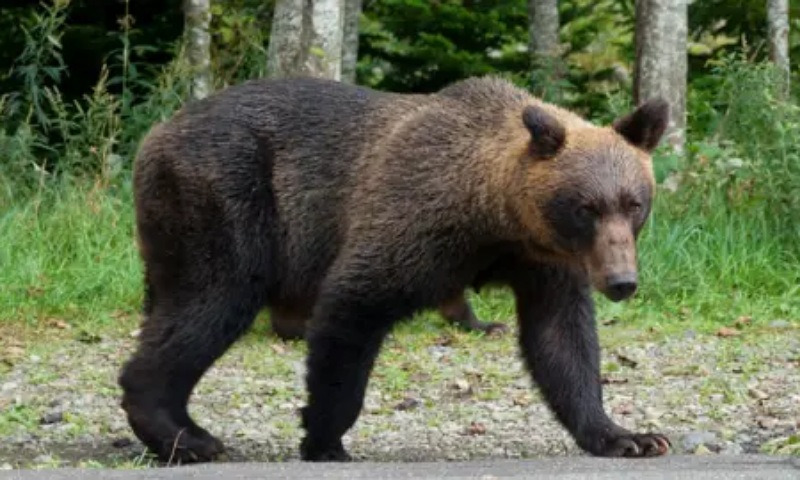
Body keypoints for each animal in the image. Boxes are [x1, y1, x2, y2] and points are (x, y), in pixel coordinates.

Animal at [118, 74, 670, 463]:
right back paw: (186, 436)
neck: (495, 214)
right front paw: (324, 437)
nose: (622, 281)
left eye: (634, 203)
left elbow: (561, 341)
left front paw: (630, 436)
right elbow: (354, 304)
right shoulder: (417, 215)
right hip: (227, 198)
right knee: (212, 300)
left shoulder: (544, 261)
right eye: (586, 207)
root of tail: (156, 133)